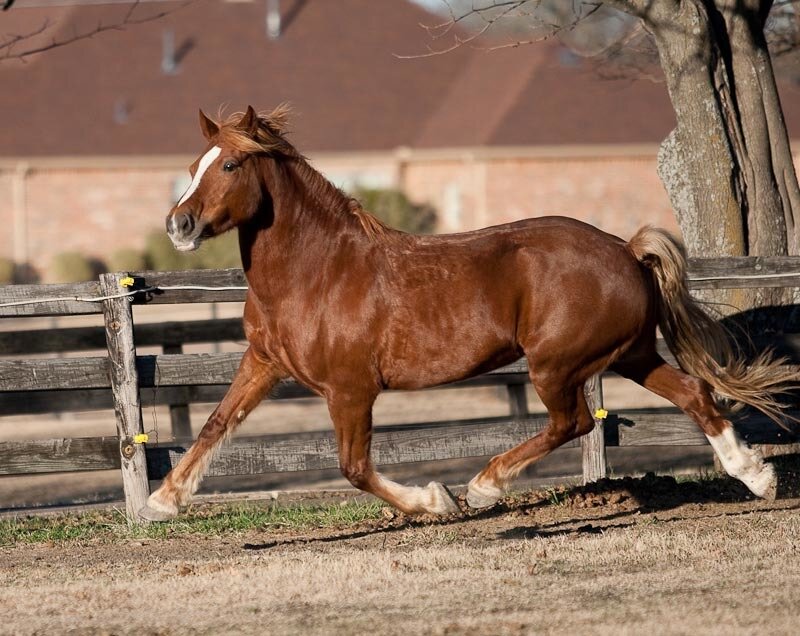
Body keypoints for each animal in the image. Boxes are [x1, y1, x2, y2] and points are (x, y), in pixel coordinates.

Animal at [139, 105, 795, 521]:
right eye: (195, 165)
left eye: (229, 166)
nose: (178, 224)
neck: (318, 272)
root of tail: (626, 250)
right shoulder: (263, 362)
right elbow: (215, 424)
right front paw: (163, 502)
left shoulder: (350, 389)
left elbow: (354, 467)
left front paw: (437, 500)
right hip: (629, 355)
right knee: (693, 395)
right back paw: (756, 477)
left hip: (556, 364)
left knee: (575, 422)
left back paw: (483, 487)